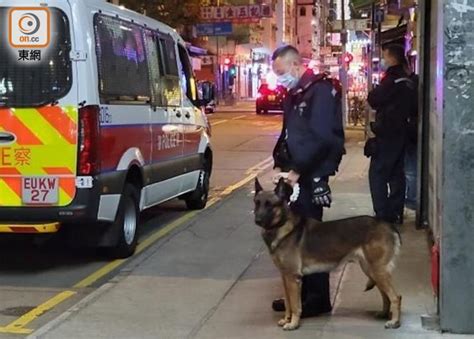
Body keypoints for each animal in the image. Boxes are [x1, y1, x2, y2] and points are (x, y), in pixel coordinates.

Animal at [254, 178, 402, 332]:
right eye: (257, 203)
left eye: (269, 205)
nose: (257, 220)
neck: (282, 226)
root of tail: (388, 225)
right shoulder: (285, 277)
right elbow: (287, 303)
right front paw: (286, 319)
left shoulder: (293, 278)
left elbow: (295, 305)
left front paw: (293, 323)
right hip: (371, 271)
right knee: (385, 295)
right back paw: (384, 314)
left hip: (378, 271)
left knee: (396, 297)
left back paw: (395, 322)